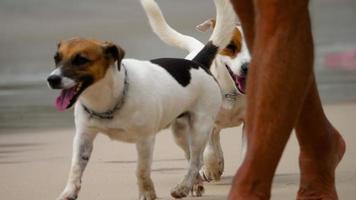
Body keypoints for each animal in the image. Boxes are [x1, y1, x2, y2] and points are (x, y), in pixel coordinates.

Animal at [46, 0, 236, 200]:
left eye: (81, 60)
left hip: (200, 127)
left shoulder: (145, 141)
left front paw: (146, 193)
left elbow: (141, 171)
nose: (51, 79)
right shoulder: (83, 137)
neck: (111, 98)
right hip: (180, 132)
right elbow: (75, 168)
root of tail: (197, 62)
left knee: (196, 160)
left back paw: (182, 187)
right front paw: (68, 193)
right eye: (56, 59)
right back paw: (194, 185)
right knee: (191, 157)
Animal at [142, 0, 250, 182]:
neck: (231, 92)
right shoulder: (203, 119)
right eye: (230, 46)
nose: (247, 67)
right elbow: (209, 149)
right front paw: (211, 167)